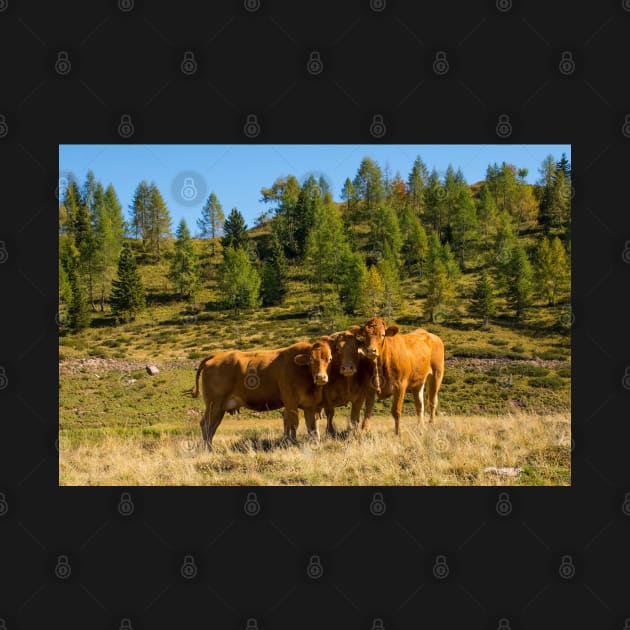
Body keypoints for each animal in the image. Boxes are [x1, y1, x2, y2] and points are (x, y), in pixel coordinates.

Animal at [193, 338, 336, 452]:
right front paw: (293, 443)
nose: (321, 377)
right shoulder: (290, 402)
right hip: (214, 405)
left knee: (213, 426)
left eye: (329, 359)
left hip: (220, 408)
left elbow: (312, 426)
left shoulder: (310, 405)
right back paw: (208, 449)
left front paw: (315, 443)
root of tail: (216, 355)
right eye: (311, 359)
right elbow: (293, 424)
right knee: (206, 424)